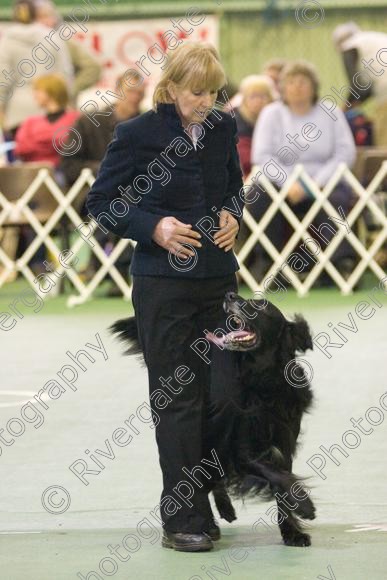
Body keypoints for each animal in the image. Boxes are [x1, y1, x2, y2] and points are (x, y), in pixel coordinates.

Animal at [110, 292, 316, 548]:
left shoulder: (284, 444)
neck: (263, 382)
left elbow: (283, 482)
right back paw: (219, 512)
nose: (230, 295)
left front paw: (292, 532)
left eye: (260, 306)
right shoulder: (242, 451)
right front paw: (306, 506)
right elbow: (278, 477)